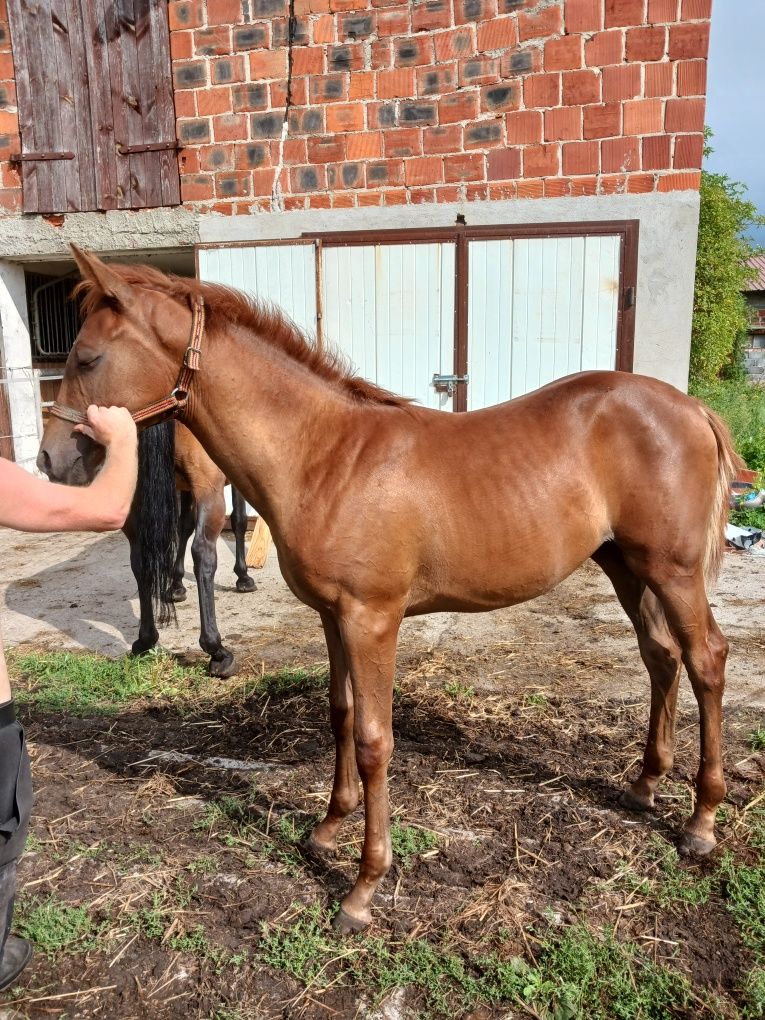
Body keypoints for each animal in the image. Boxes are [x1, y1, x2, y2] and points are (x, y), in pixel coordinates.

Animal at [125, 422, 256, 677]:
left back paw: (145, 641)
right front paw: (243, 577)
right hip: (208, 487)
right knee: (203, 551)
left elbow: (183, 524)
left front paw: (176, 585)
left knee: (139, 555)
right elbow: (239, 520)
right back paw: (217, 651)